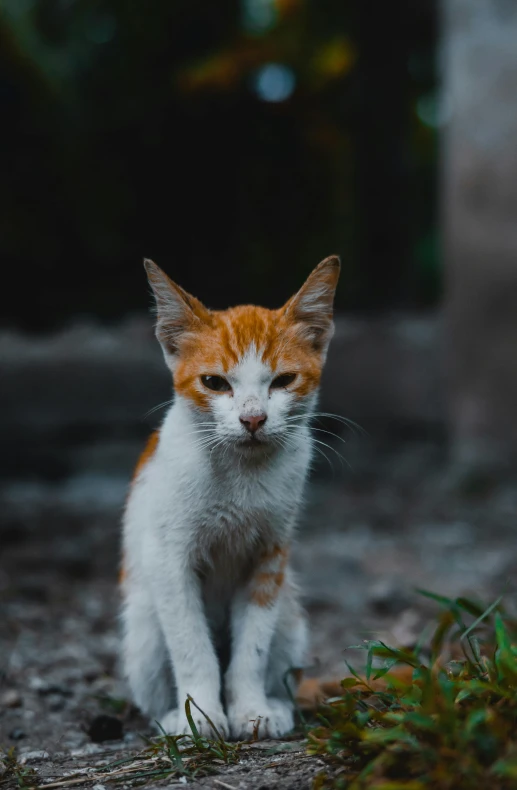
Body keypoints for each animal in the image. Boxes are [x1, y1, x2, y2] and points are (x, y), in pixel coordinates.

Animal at [120, 255, 338, 744]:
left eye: (283, 380)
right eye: (215, 382)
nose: (253, 419)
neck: (242, 473)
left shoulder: (270, 556)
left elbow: (251, 648)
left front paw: (252, 710)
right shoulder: (167, 558)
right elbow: (191, 644)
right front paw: (199, 716)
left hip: (290, 612)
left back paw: (278, 705)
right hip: (143, 625)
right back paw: (170, 717)